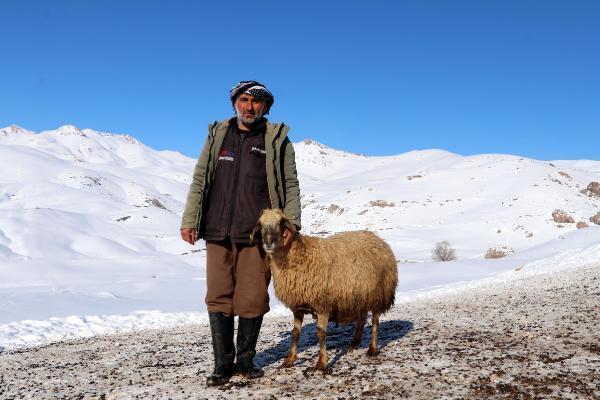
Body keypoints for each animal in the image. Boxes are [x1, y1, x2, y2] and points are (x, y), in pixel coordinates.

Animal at [250, 208, 398, 370]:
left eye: (281, 223)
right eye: (261, 224)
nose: (268, 242)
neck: (298, 255)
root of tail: (380, 241)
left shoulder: (322, 304)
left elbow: (321, 333)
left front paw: (322, 362)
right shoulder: (298, 307)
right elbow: (295, 333)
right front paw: (290, 359)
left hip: (378, 293)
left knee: (375, 322)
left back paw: (372, 349)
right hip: (359, 295)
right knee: (362, 318)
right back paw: (354, 343)